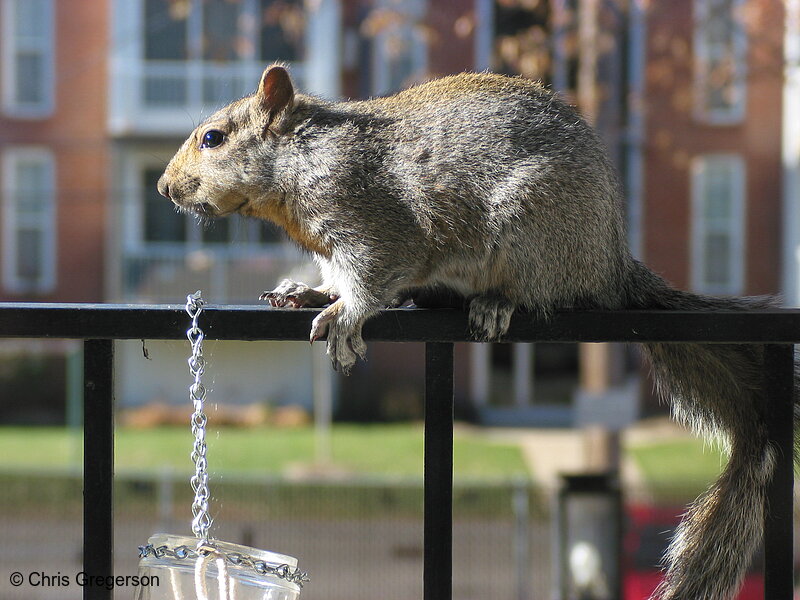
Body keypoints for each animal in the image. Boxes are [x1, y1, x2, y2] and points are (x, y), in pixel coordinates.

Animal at [159, 65, 796, 600]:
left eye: (213, 138)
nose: (165, 188)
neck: (305, 158)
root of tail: (609, 261)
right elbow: (334, 276)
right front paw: (310, 291)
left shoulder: (371, 220)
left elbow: (371, 276)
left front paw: (347, 314)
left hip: (534, 232)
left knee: (538, 289)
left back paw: (495, 302)